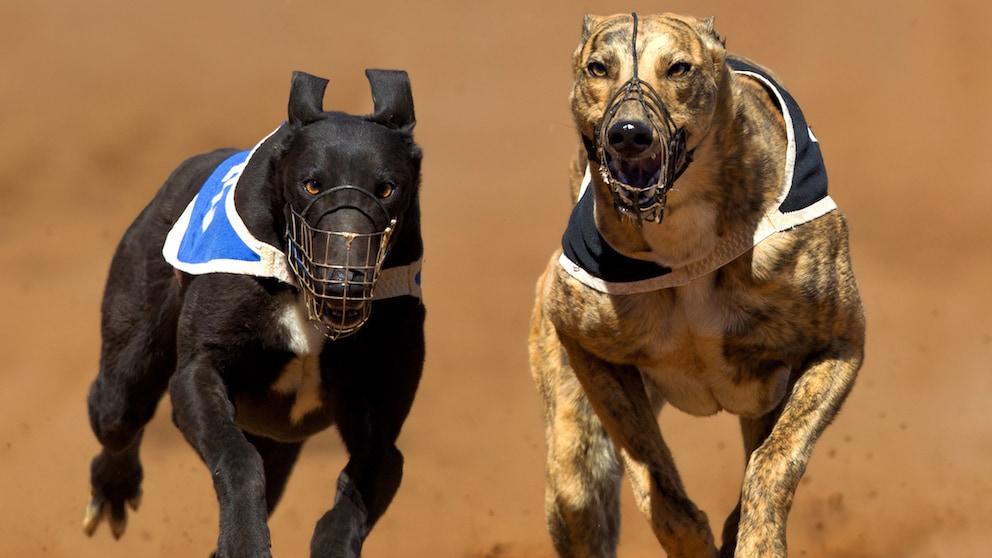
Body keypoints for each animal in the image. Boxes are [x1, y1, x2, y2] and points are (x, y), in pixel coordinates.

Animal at [84, 70, 422, 558]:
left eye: (387, 188)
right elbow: (237, 456)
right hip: (131, 353)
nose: (343, 284)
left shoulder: (382, 428)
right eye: (312, 184)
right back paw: (114, 487)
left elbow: (355, 495)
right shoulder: (198, 374)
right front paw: (244, 540)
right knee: (115, 414)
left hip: (276, 443)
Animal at [532, 13, 864, 558]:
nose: (629, 134)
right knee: (578, 489)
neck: (681, 238)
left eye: (679, 68)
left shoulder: (840, 345)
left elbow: (774, 460)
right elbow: (655, 479)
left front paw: (755, 542)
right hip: (572, 468)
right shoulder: (583, 344)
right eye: (598, 67)